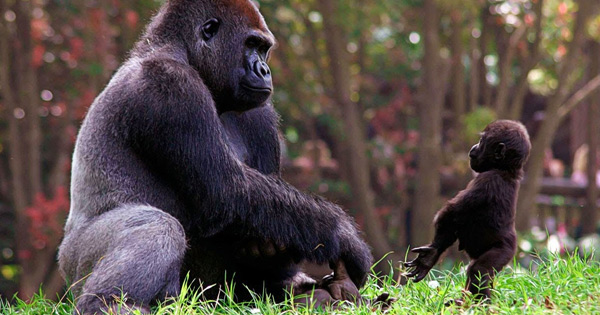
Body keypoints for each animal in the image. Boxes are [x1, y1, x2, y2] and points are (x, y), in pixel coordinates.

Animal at [58, 0, 372, 314]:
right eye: (251, 44)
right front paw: (344, 235)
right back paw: (107, 303)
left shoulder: (260, 114)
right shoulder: (172, 84)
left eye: (263, 48)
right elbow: (227, 191)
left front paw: (272, 258)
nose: (264, 69)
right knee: (157, 226)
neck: (177, 49)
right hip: (75, 265)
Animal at [404, 120, 528, 302]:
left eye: (482, 141)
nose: (473, 147)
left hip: (504, 251)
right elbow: (452, 222)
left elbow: (451, 214)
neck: (505, 169)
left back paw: (480, 303)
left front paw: (432, 252)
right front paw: (429, 258)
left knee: (479, 270)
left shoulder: (485, 181)